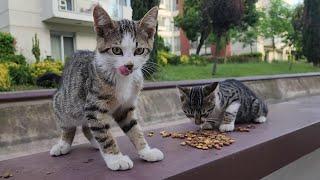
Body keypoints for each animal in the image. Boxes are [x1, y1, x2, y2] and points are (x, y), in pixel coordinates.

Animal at [51, 5, 165, 171]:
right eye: (116, 50)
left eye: (139, 51)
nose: (129, 65)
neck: (123, 79)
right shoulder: (94, 107)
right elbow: (105, 135)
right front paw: (116, 159)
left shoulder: (125, 108)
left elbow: (134, 129)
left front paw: (146, 151)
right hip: (64, 103)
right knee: (70, 125)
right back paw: (63, 145)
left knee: (87, 127)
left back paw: (95, 143)